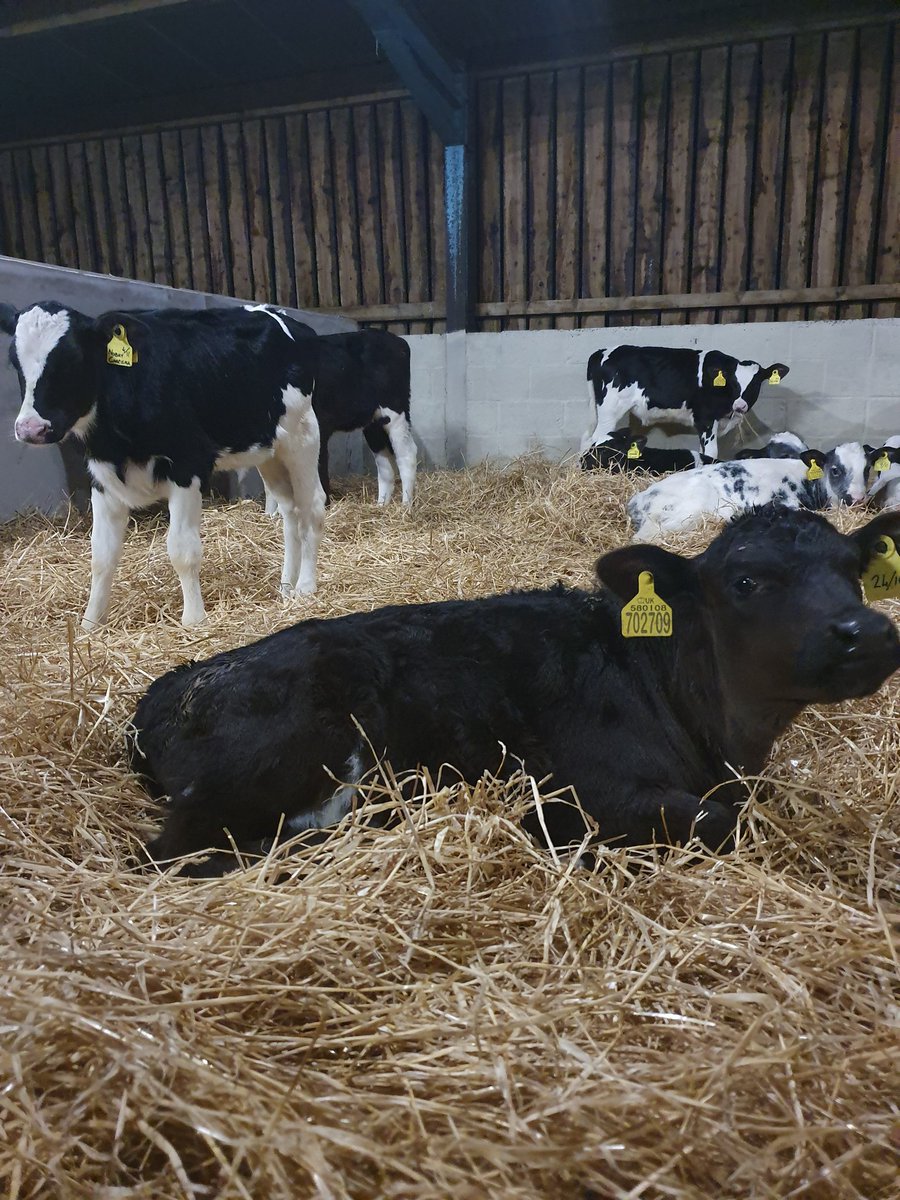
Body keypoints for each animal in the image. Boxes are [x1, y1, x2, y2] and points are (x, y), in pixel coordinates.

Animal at [0, 301, 323, 629]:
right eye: (15, 362)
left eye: (72, 359)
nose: (31, 429)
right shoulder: (102, 477)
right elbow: (101, 555)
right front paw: (90, 625)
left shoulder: (188, 465)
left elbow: (182, 549)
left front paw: (193, 620)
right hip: (269, 451)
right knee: (290, 511)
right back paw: (285, 587)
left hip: (302, 435)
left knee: (311, 506)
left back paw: (305, 587)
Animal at [129, 506, 900, 877]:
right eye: (747, 582)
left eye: (852, 570)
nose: (868, 633)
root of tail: (167, 690)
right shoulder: (594, 789)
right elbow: (720, 823)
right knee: (173, 854)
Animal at [581, 346, 790, 460]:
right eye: (734, 382)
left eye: (756, 383)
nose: (740, 406)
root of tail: (601, 352)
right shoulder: (706, 419)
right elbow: (711, 452)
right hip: (610, 410)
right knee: (596, 439)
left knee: (586, 438)